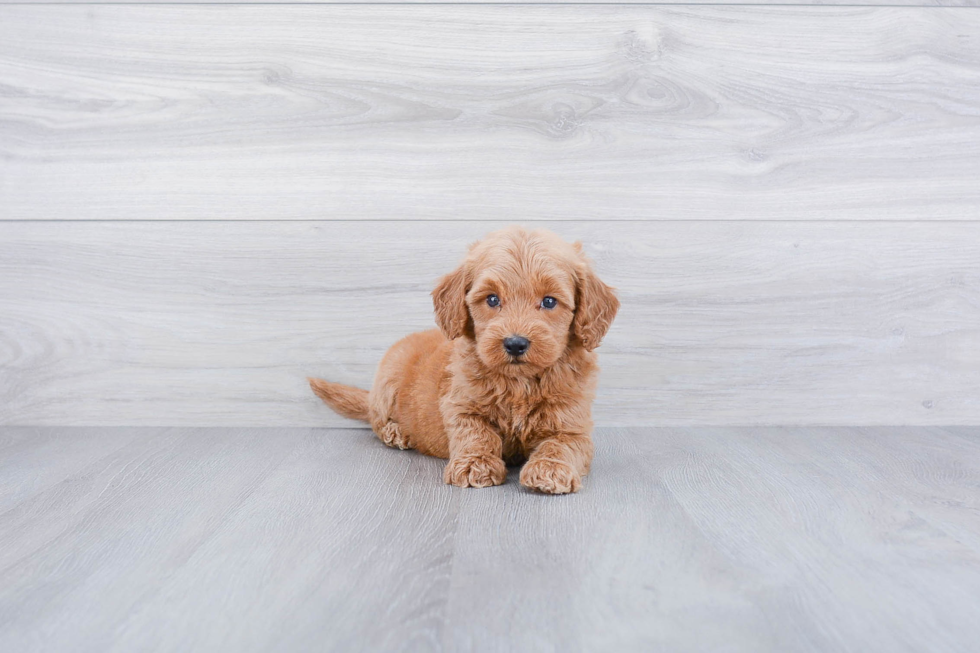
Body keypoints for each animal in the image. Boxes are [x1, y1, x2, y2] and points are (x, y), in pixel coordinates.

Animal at [312, 225, 620, 494]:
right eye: (492, 299)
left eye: (549, 301)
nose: (515, 343)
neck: (519, 384)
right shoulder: (461, 404)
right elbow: (475, 434)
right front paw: (475, 464)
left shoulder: (573, 424)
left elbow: (562, 444)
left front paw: (550, 469)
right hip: (386, 382)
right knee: (376, 419)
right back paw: (397, 432)